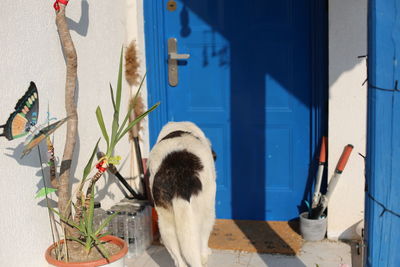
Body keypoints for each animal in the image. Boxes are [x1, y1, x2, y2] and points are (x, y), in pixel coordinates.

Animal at [148, 122, 217, 267]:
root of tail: (177, 179)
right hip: (206, 212)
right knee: (201, 239)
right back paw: (204, 255)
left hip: (165, 223)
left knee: (178, 257)